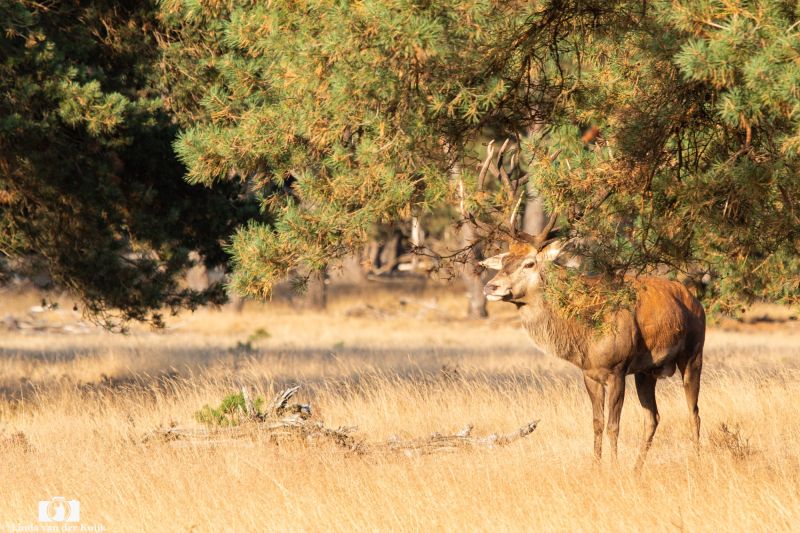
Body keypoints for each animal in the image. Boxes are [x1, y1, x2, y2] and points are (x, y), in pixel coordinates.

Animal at [480, 212, 706, 470]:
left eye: (529, 263)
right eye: (504, 260)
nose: (490, 286)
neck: (584, 331)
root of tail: (696, 301)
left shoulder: (617, 369)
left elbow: (613, 426)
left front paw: (614, 467)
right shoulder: (589, 373)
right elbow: (597, 423)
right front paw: (596, 467)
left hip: (694, 354)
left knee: (694, 411)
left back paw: (696, 461)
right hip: (646, 372)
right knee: (653, 417)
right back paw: (636, 469)